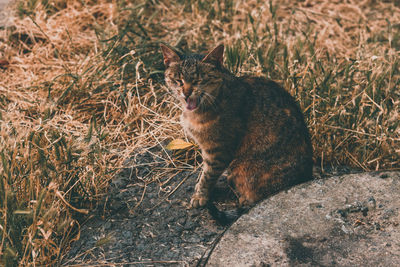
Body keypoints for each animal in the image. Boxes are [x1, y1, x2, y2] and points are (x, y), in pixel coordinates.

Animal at [161, 44, 314, 226]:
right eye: (178, 80)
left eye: (198, 80)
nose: (186, 92)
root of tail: (306, 176)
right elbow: (204, 173)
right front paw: (200, 189)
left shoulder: (218, 151)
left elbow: (208, 175)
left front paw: (200, 196)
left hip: (242, 168)